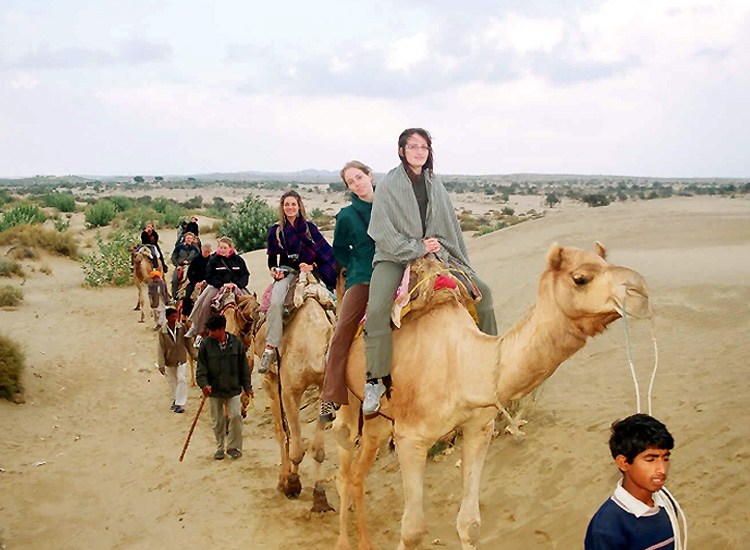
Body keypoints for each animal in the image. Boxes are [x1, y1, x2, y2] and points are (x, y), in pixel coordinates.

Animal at [253, 282, 334, 516]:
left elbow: (318, 450)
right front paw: (292, 484)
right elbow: (296, 447)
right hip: (270, 381)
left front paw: (320, 496)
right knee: (282, 433)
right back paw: (282, 480)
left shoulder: (324, 390)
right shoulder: (288, 391)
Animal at [334, 245, 652, 550]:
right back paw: (345, 542)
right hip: (349, 397)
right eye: (581, 278)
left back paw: (365, 543)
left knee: (359, 472)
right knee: (344, 459)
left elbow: (469, 524)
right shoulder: (411, 438)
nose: (640, 291)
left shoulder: (478, 427)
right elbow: (412, 532)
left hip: (379, 420)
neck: (462, 364)